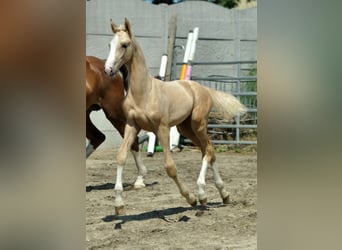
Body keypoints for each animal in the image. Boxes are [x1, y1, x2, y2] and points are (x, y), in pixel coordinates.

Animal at [104, 18, 246, 215]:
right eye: (110, 44)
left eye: (124, 45)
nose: (108, 69)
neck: (145, 93)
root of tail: (203, 88)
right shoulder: (132, 126)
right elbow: (121, 156)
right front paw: (118, 204)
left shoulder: (162, 128)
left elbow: (170, 167)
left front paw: (190, 198)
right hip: (185, 128)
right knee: (207, 150)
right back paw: (221, 194)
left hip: (198, 124)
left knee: (209, 149)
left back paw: (203, 193)